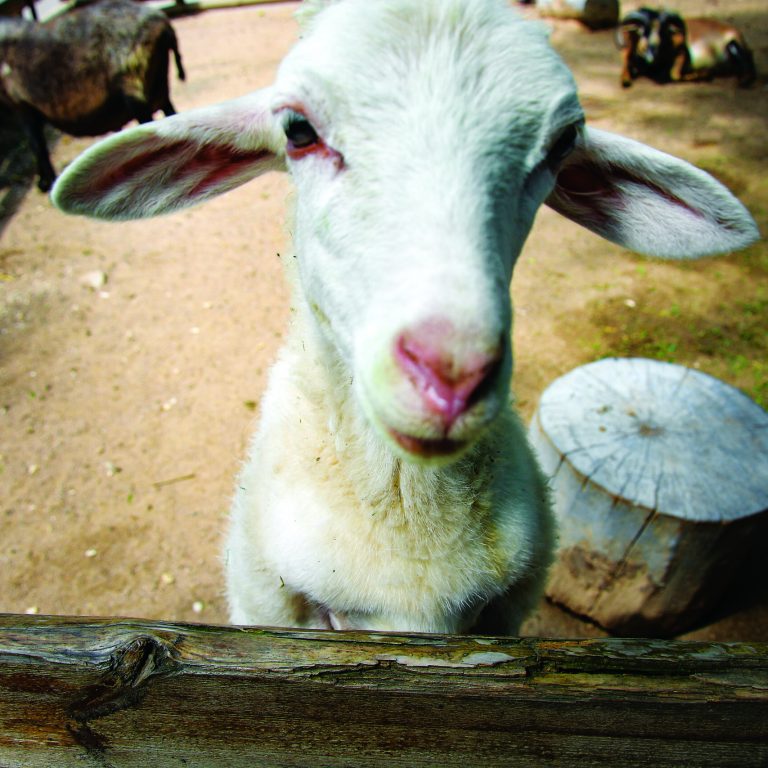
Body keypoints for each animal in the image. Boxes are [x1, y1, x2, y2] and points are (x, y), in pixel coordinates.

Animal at [0, 0, 185, 191]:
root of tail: (162, 22)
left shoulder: (22, 106)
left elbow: (37, 145)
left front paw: (45, 182)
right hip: (158, 91)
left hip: (135, 90)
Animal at [618, 7, 756, 88]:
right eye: (645, 31)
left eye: (663, 31)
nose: (653, 53)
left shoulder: (682, 51)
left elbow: (675, 75)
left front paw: (703, 74)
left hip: (733, 44)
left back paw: (743, 80)